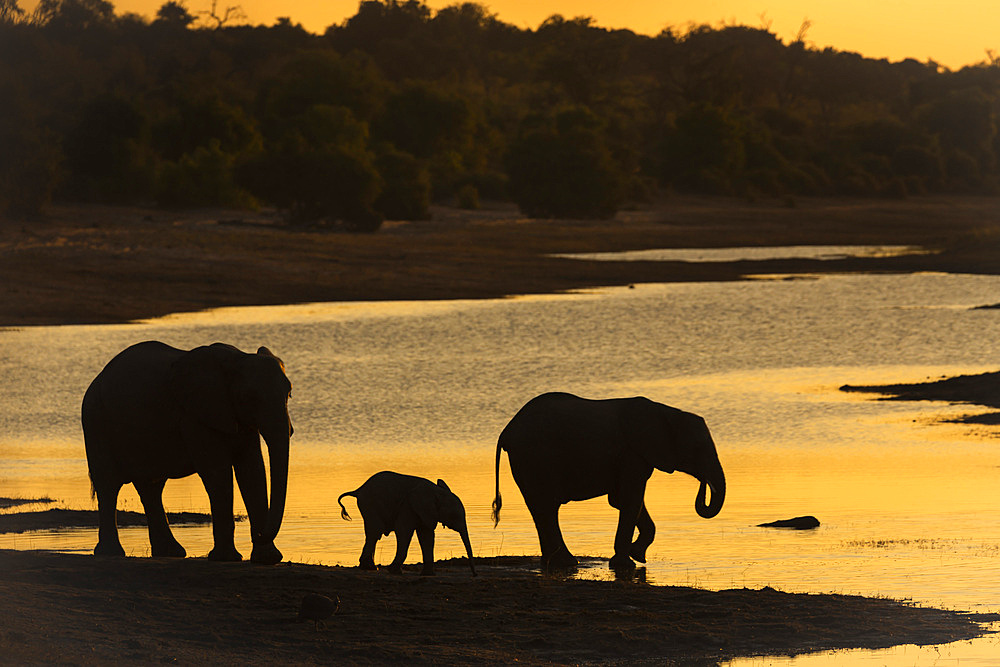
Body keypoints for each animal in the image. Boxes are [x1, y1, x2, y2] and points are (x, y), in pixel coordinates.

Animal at [82, 342, 292, 568]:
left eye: (289, 394)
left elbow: (252, 470)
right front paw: (227, 558)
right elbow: (217, 472)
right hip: (95, 421)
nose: (258, 535)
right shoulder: (195, 416)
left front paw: (267, 559)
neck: (237, 359)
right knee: (109, 485)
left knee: (151, 488)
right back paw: (110, 552)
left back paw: (171, 552)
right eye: (249, 398)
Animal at [338, 472, 474, 576]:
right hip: (370, 505)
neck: (436, 491)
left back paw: (370, 567)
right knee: (375, 532)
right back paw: (370, 567)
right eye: (454, 516)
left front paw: (428, 575)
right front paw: (394, 571)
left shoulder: (425, 512)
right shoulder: (408, 507)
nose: (475, 574)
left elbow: (427, 536)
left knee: (373, 533)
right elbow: (404, 531)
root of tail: (359, 489)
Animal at [492, 394, 728, 572]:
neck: (667, 412)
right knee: (547, 507)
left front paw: (637, 555)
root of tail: (507, 431)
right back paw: (568, 562)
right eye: (698, 448)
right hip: (536, 458)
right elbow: (631, 499)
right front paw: (627, 563)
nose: (705, 482)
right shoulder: (633, 454)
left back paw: (556, 563)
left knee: (541, 510)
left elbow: (622, 500)